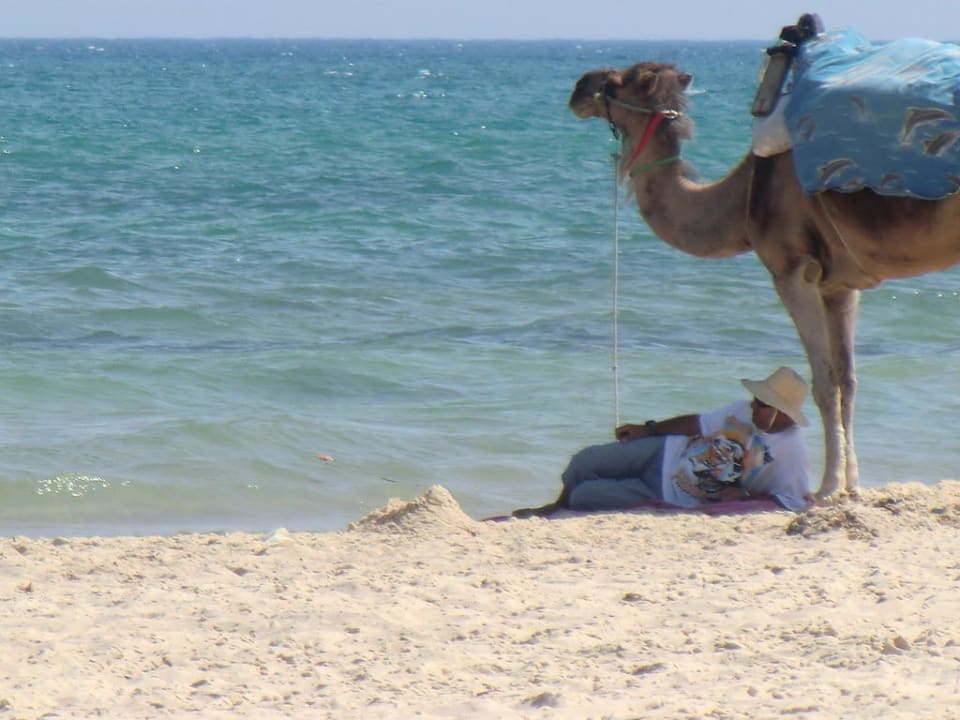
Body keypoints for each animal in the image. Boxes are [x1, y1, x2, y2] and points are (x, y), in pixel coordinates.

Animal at [568, 29, 960, 500]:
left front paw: (825, 487)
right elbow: (849, 380)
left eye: (624, 80)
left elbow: (824, 381)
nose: (580, 86)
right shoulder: (840, 284)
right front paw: (852, 486)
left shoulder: (791, 270)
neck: (744, 197)